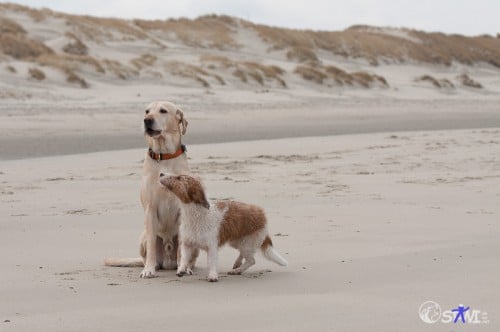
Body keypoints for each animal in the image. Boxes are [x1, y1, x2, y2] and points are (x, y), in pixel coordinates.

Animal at [158, 174, 288, 282]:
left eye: (179, 177)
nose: (161, 173)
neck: (195, 214)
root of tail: (262, 216)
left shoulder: (212, 246)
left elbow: (211, 261)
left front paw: (212, 276)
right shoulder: (187, 243)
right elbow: (184, 257)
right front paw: (181, 270)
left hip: (247, 243)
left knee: (251, 260)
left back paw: (238, 270)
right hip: (237, 242)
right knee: (244, 255)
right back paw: (237, 264)